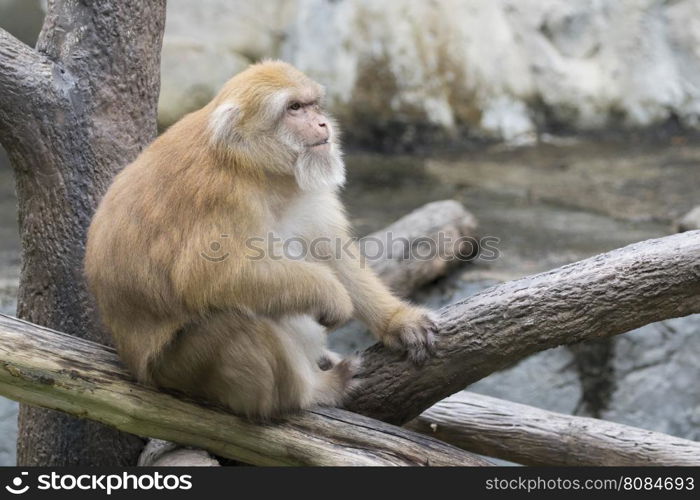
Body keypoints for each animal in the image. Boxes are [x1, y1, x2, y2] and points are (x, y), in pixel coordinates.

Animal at [85, 60, 434, 420]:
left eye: (313, 105)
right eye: (294, 108)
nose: (323, 123)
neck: (253, 166)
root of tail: (137, 368)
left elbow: (330, 250)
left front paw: (397, 321)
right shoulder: (224, 197)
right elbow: (205, 276)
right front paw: (330, 295)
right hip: (178, 369)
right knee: (235, 321)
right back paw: (311, 392)